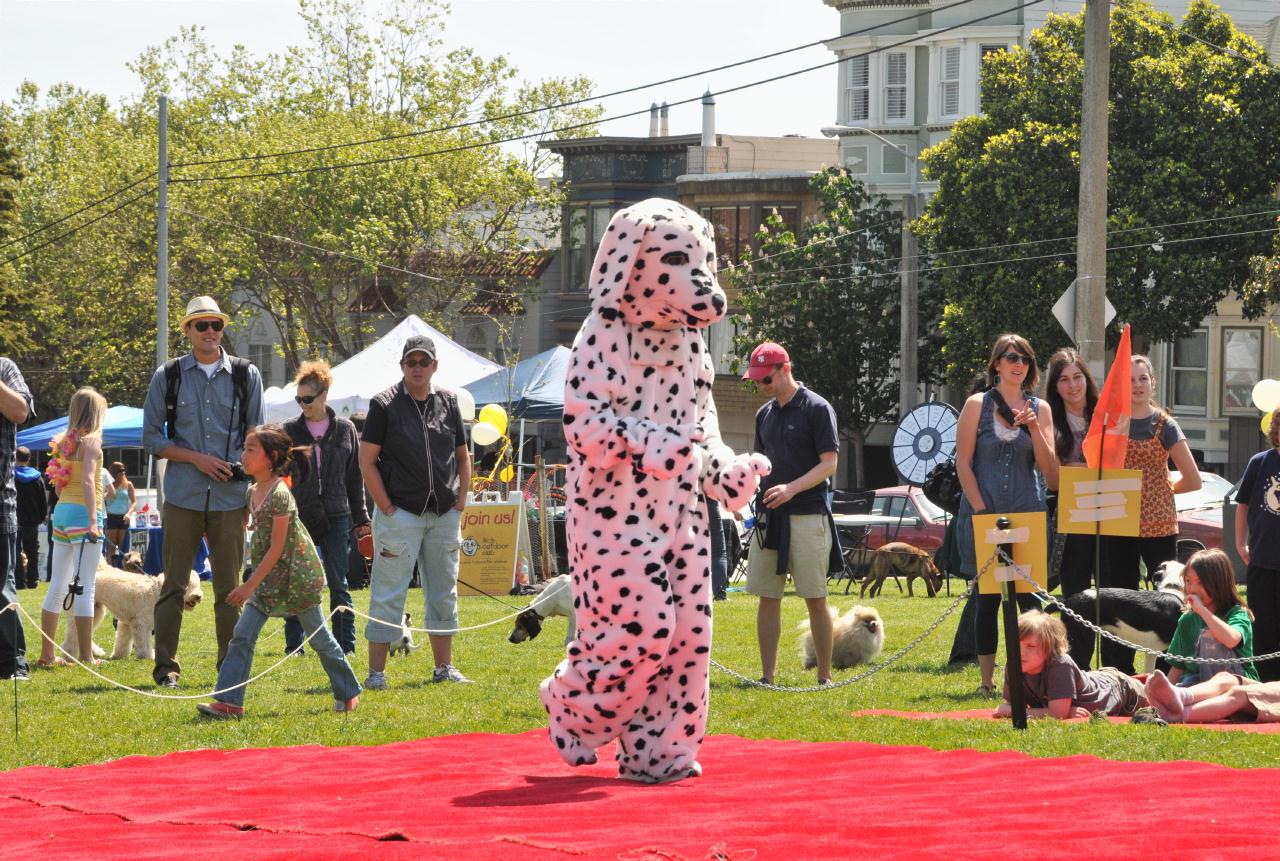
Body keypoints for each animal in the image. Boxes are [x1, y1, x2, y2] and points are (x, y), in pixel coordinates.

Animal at [62, 557, 202, 660]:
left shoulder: (127, 624)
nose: (197, 596)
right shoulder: (141, 624)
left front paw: (119, 655)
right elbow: (144, 642)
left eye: (197, 584)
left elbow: (123, 641)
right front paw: (148, 656)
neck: (156, 591)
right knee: (73, 636)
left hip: (96, 612)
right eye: (187, 584)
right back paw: (69, 655)